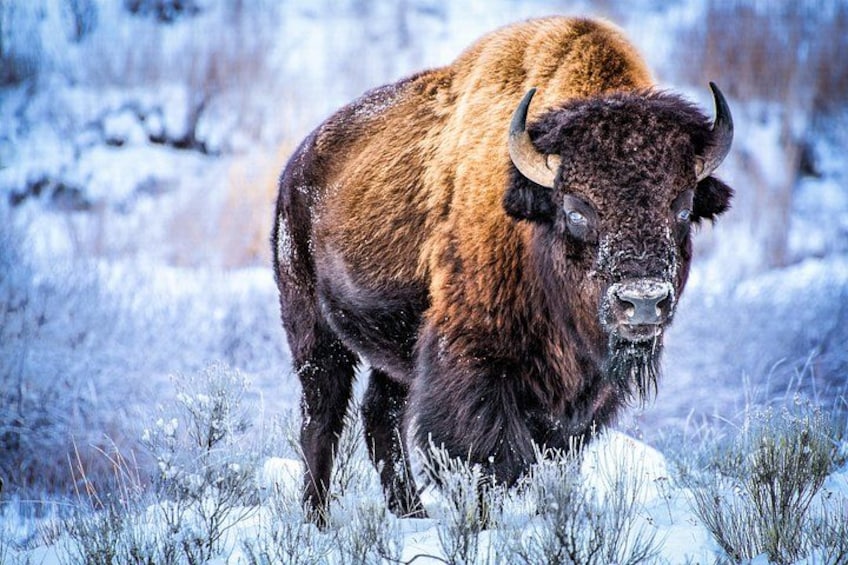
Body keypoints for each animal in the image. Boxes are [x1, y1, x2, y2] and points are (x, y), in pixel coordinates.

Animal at [272, 16, 733, 521]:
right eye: (576, 210)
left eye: (683, 206)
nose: (643, 302)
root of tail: (296, 167)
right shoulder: (475, 361)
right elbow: (493, 456)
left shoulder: (584, 393)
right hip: (313, 332)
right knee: (322, 419)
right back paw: (317, 518)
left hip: (393, 350)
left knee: (380, 415)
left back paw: (411, 512)